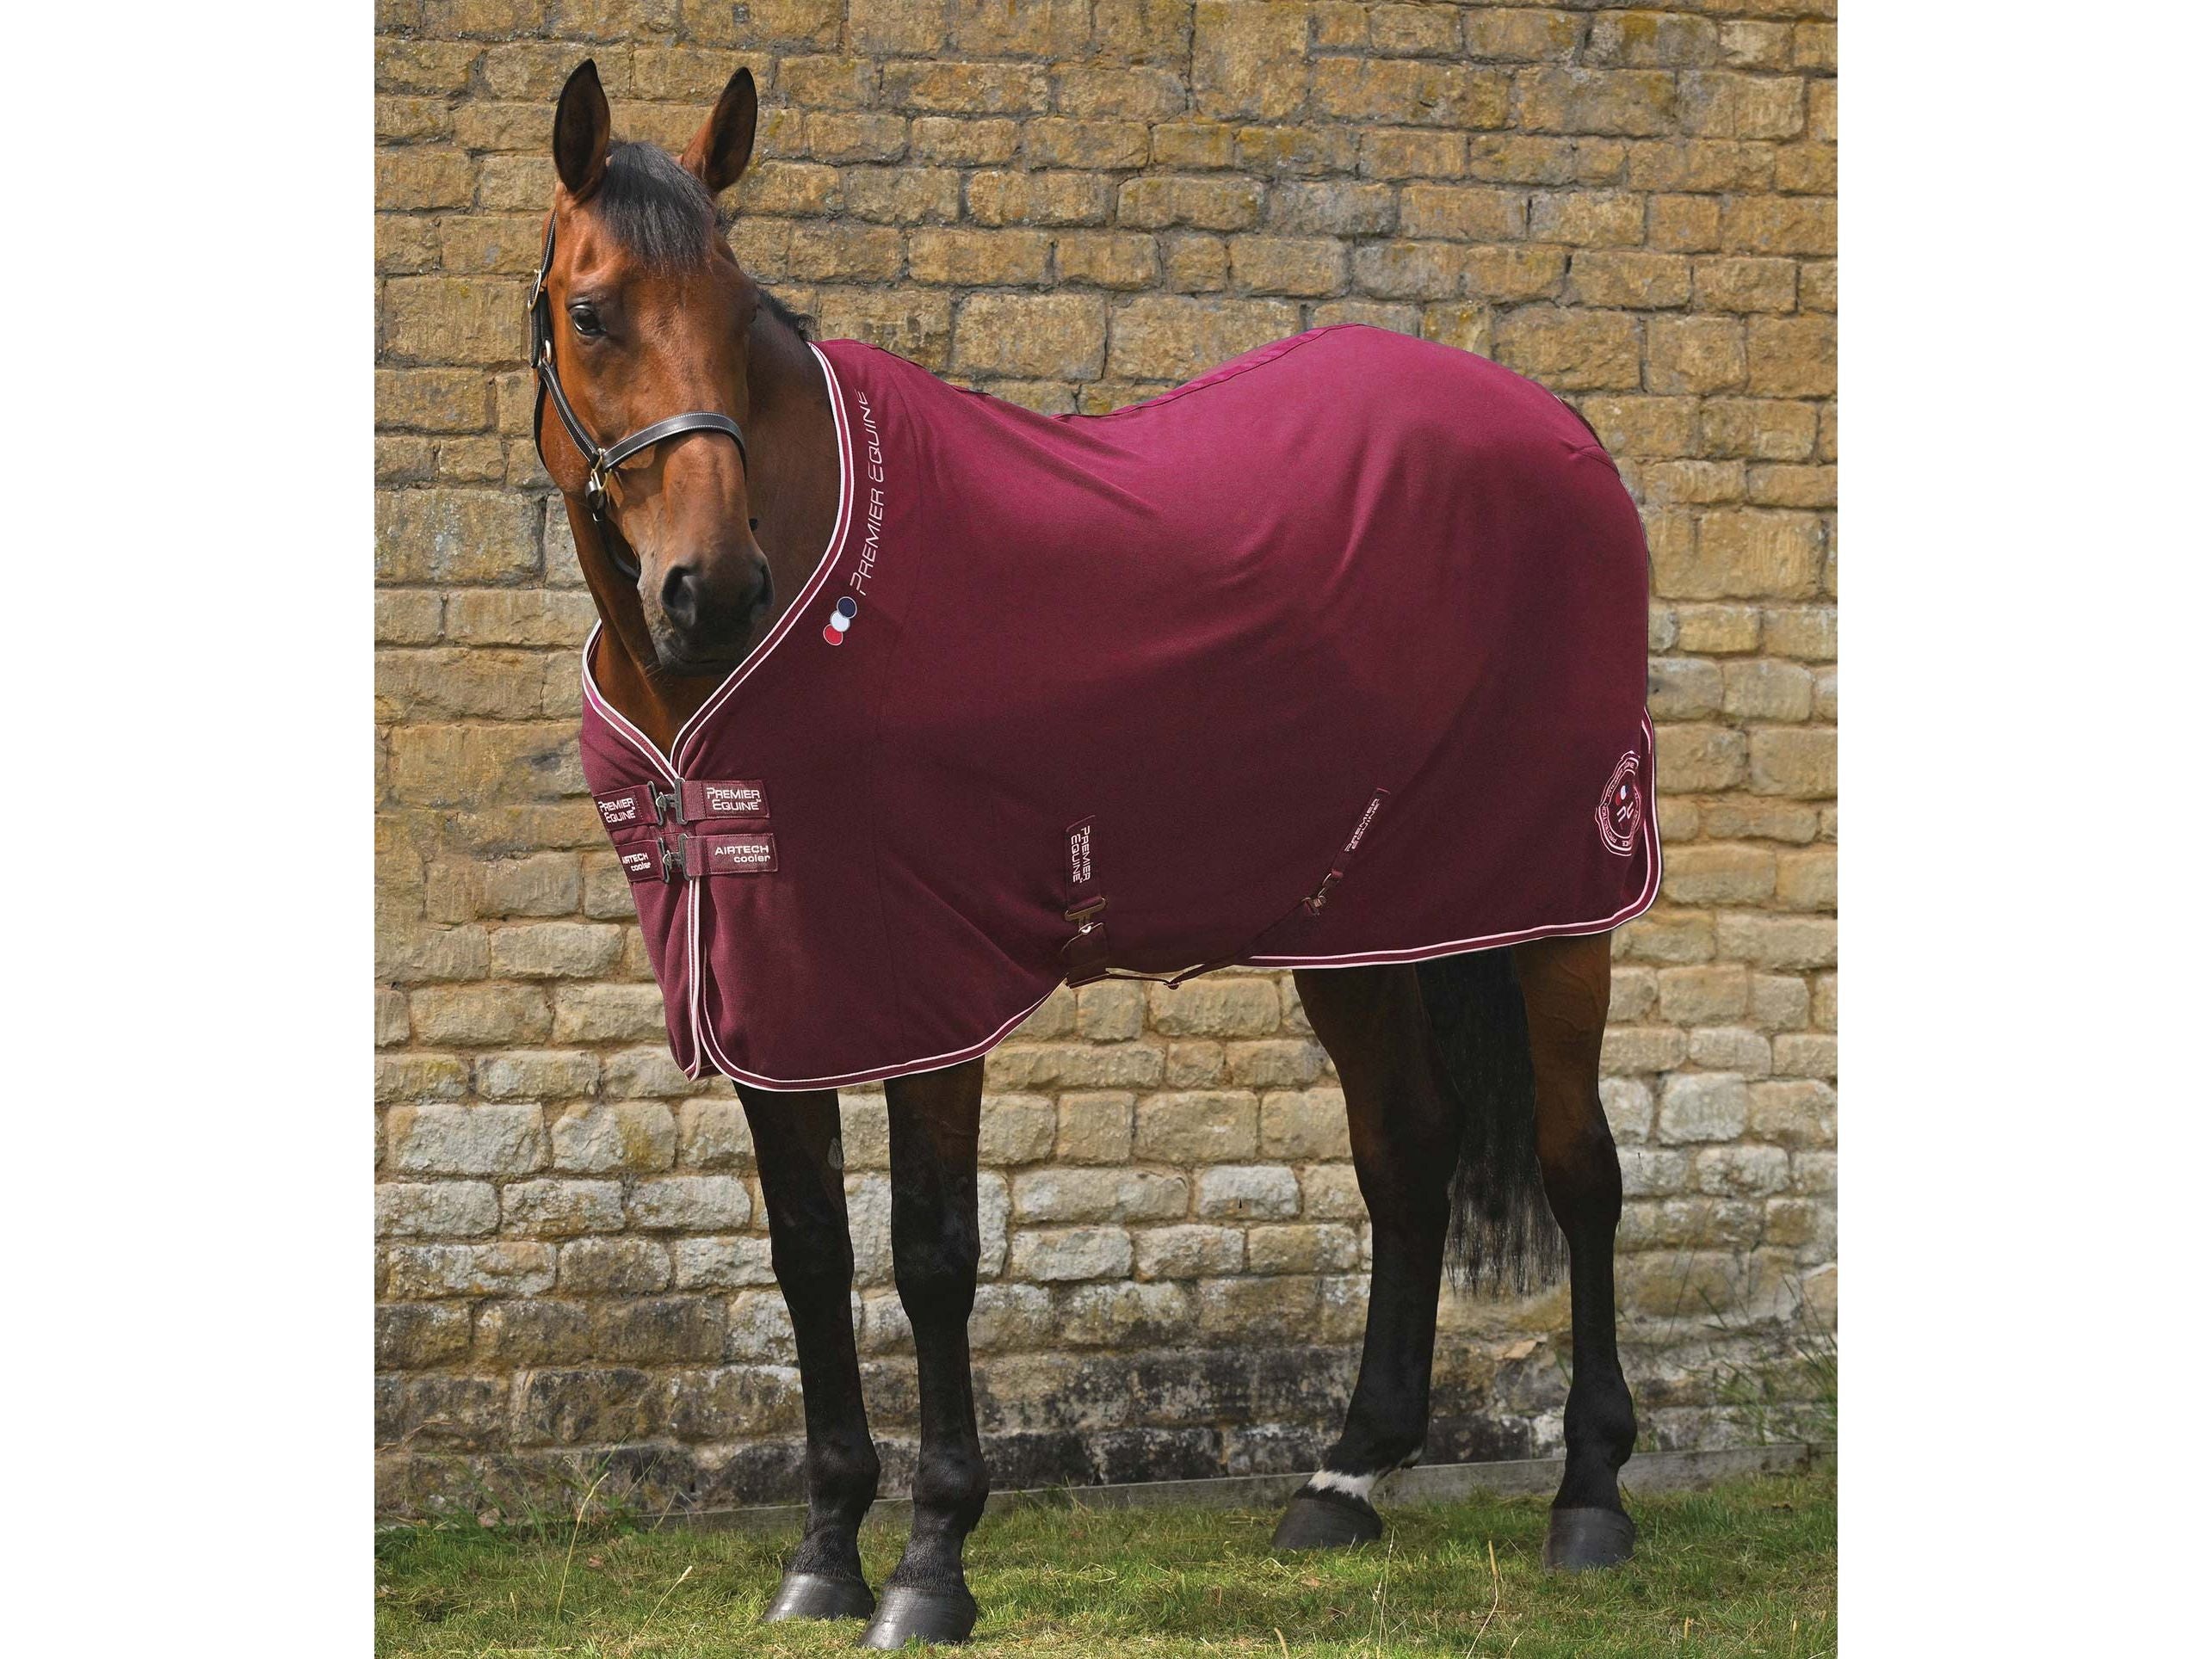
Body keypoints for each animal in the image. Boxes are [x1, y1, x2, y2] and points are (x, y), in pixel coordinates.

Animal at [521, 58, 1647, 1649]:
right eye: (594, 310)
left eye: (738, 310)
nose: (712, 590)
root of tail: (1560, 432)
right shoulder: (773, 987)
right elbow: (807, 1250)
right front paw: (822, 1554)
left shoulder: (923, 984)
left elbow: (932, 1253)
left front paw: (931, 1563)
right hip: (1358, 923)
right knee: (1407, 1155)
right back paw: (1344, 1477)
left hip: (1565, 896)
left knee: (1577, 1166)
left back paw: (1591, 1498)